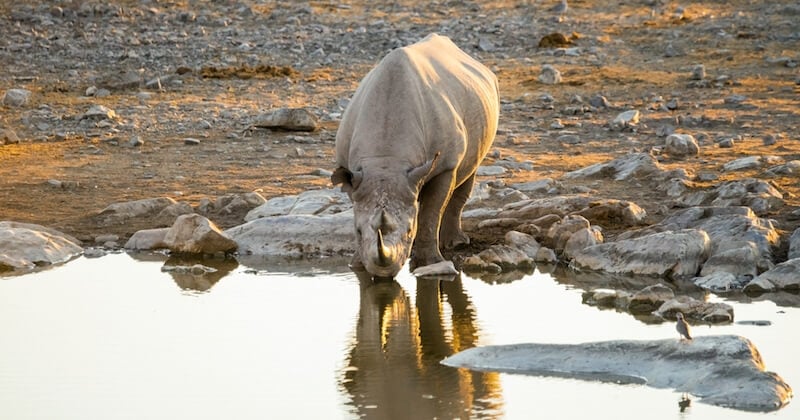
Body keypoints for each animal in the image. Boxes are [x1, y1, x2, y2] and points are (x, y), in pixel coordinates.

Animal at [332, 34, 500, 278]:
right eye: (358, 231)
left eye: (410, 231)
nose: (383, 274)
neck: (387, 159)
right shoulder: (354, 175)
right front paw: (357, 264)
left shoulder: (445, 166)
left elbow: (431, 212)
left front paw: (428, 262)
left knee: (469, 171)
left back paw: (455, 243)